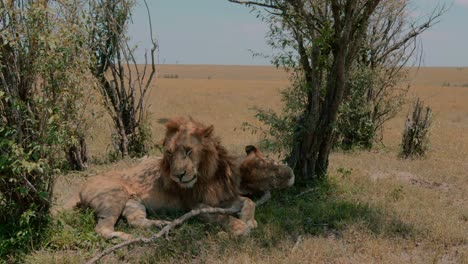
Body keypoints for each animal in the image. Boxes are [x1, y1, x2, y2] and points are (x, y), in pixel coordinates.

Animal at [75, 117, 256, 239]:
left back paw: (161, 224)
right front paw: (239, 227)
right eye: (169, 153)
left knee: (135, 221)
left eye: (188, 150)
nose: (178, 176)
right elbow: (222, 216)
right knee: (102, 229)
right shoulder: (194, 205)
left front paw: (249, 220)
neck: (208, 175)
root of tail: (81, 187)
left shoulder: (222, 197)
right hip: (114, 196)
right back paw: (128, 237)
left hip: (133, 203)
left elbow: (249, 201)